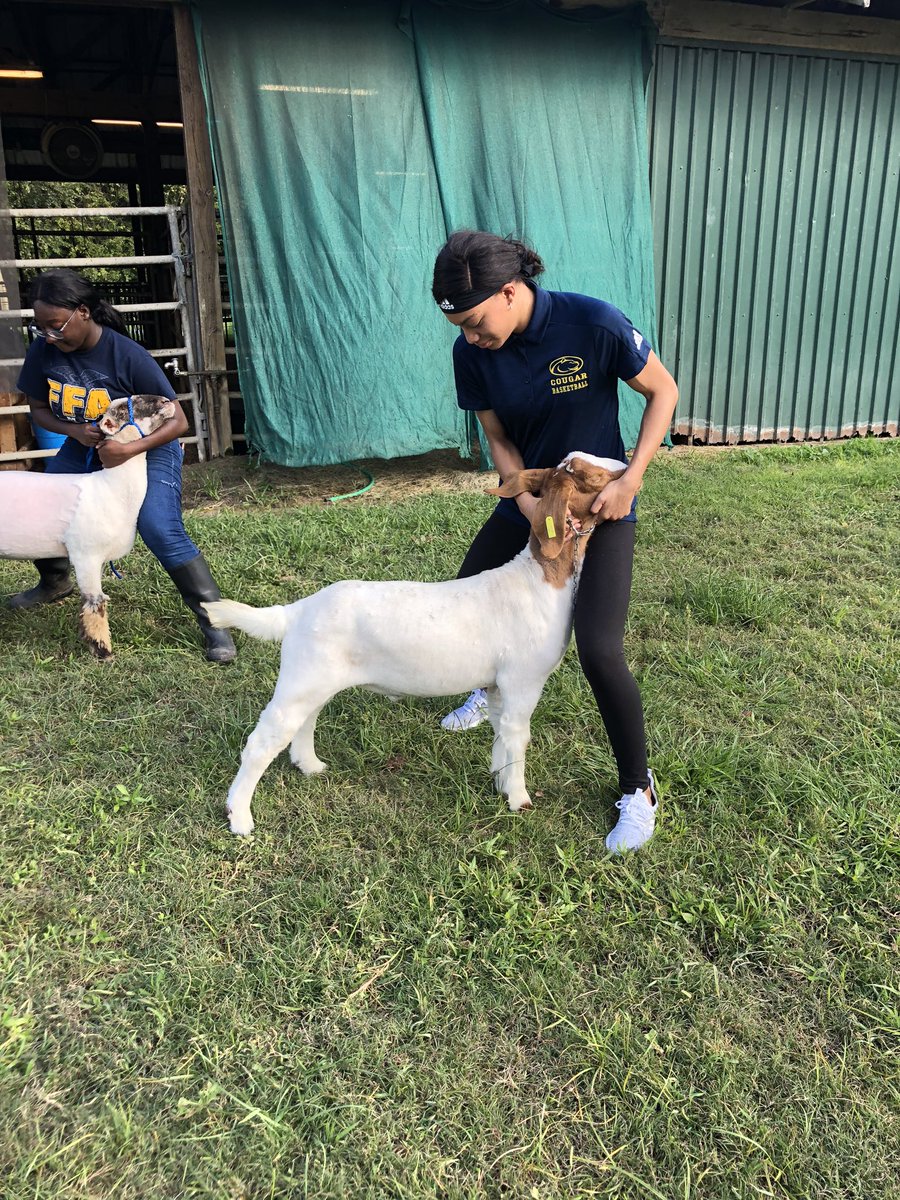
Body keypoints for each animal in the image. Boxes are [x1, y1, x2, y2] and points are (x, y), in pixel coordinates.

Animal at [0, 394, 176, 659]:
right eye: (123, 407)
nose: (168, 401)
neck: (110, 489)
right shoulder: (86, 555)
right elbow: (96, 602)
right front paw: (102, 650)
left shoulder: (99, 558)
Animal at [203, 452, 627, 835]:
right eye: (590, 475)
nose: (625, 469)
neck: (539, 580)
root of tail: (297, 610)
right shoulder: (523, 681)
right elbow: (518, 738)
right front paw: (519, 800)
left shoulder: (497, 685)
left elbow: (501, 735)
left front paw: (499, 781)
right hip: (300, 681)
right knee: (262, 741)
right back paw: (240, 818)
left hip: (314, 680)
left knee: (305, 721)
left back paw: (310, 766)